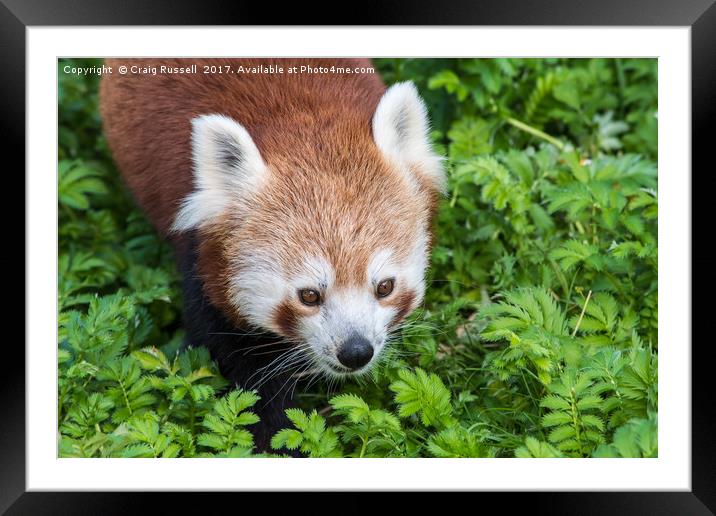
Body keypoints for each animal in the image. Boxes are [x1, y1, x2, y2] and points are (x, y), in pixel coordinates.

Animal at [99, 58, 448, 450]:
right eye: (309, 295)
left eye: (385, 287)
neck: (300, 121)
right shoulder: (202, 262)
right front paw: (269, 442)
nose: (355, 351)